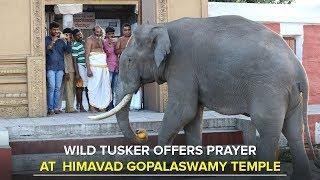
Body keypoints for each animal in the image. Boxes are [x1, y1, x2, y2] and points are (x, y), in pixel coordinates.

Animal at [89, 15, 318, 180]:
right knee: (293, 131)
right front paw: (193, 169)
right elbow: (193, 118)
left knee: (269, 129)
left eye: (128, 60)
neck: (163, 26)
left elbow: (183, 110)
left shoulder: (182, 65)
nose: (141, 134)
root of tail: (299, 69)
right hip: (290, 95)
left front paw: (162, 166)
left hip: (270, 89)